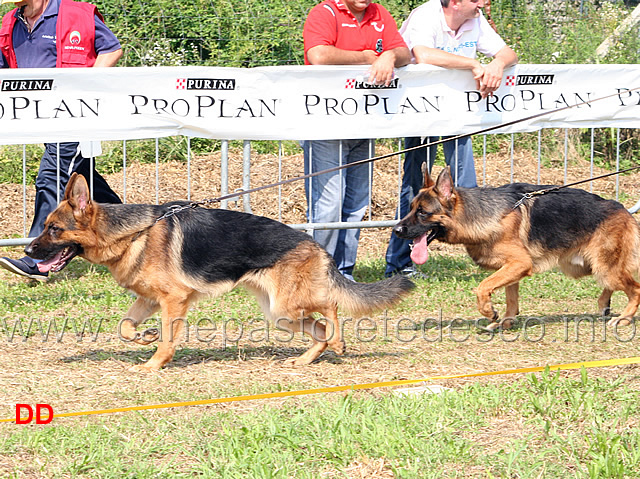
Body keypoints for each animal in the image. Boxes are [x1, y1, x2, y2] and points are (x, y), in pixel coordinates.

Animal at [25, 174, 412, 374]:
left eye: (54, 229)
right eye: (44, 226)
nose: (27, 252)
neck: (132, 233)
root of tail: (316, 246)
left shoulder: (174, 300)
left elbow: (167, 340)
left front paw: (154, 363)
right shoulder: (149, 299)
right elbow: (124, 327)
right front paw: (144, 338)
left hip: (287, 306)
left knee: (331, 306)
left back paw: (339, 341)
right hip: (280, 314)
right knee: (319, 330)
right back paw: (309, 356)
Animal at [396, 168, 640, 330]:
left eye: (423, 212)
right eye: (411, 208)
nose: (397, 230)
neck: (478, 216)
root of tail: (624, 211)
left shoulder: (519, 264)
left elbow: (482, 287)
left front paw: (489, 311)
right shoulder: (511, 268)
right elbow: (511, 299)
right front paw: (506, 322)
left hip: (603, 267)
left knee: (635, 288)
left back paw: (624, 317)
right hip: (590, 266)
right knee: (616, 285)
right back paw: (603, 304)